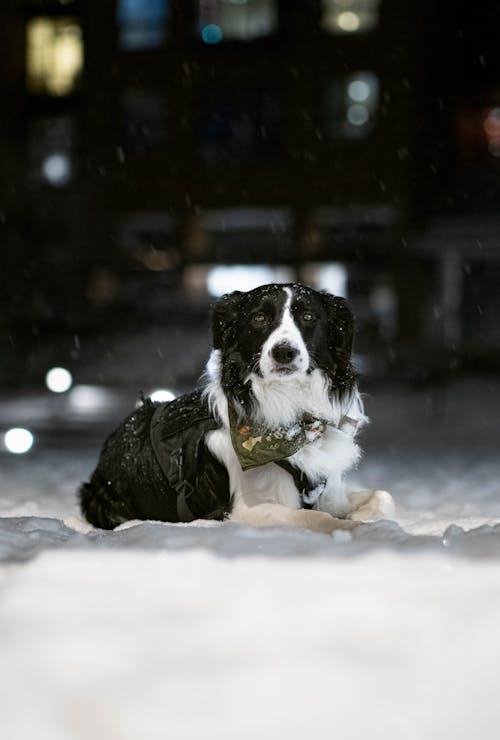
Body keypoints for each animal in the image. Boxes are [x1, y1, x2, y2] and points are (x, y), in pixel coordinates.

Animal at [80, 284, 392, 532]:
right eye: (259, 318)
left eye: (308, 317)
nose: (284, 352)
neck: (292, 413)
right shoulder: (237, 511)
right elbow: (316, 518)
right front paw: (352, 528)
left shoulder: (328, 491)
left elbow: (382, 497)